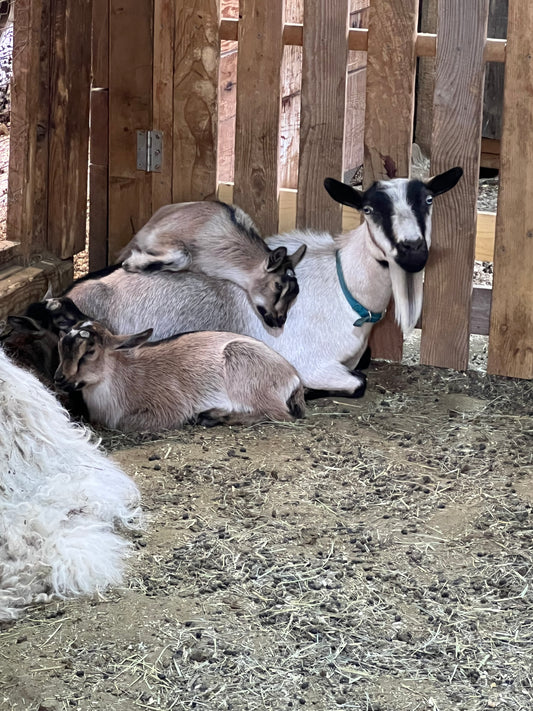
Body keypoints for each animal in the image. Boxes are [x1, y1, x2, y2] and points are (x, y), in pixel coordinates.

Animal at [54, 320, 306, 432]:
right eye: (60, 344)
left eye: (89, 351)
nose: (59, 378)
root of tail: (293, 376)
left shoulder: (170, 405)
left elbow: (125, 423)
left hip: (245, 370)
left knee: (279, 414)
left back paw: (212, 416)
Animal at [120, 200, 307, 328]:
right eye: (278, 285)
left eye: (296, 292)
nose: (280, 321)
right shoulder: (155, 237)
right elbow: (182, 256)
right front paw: (132, 263)